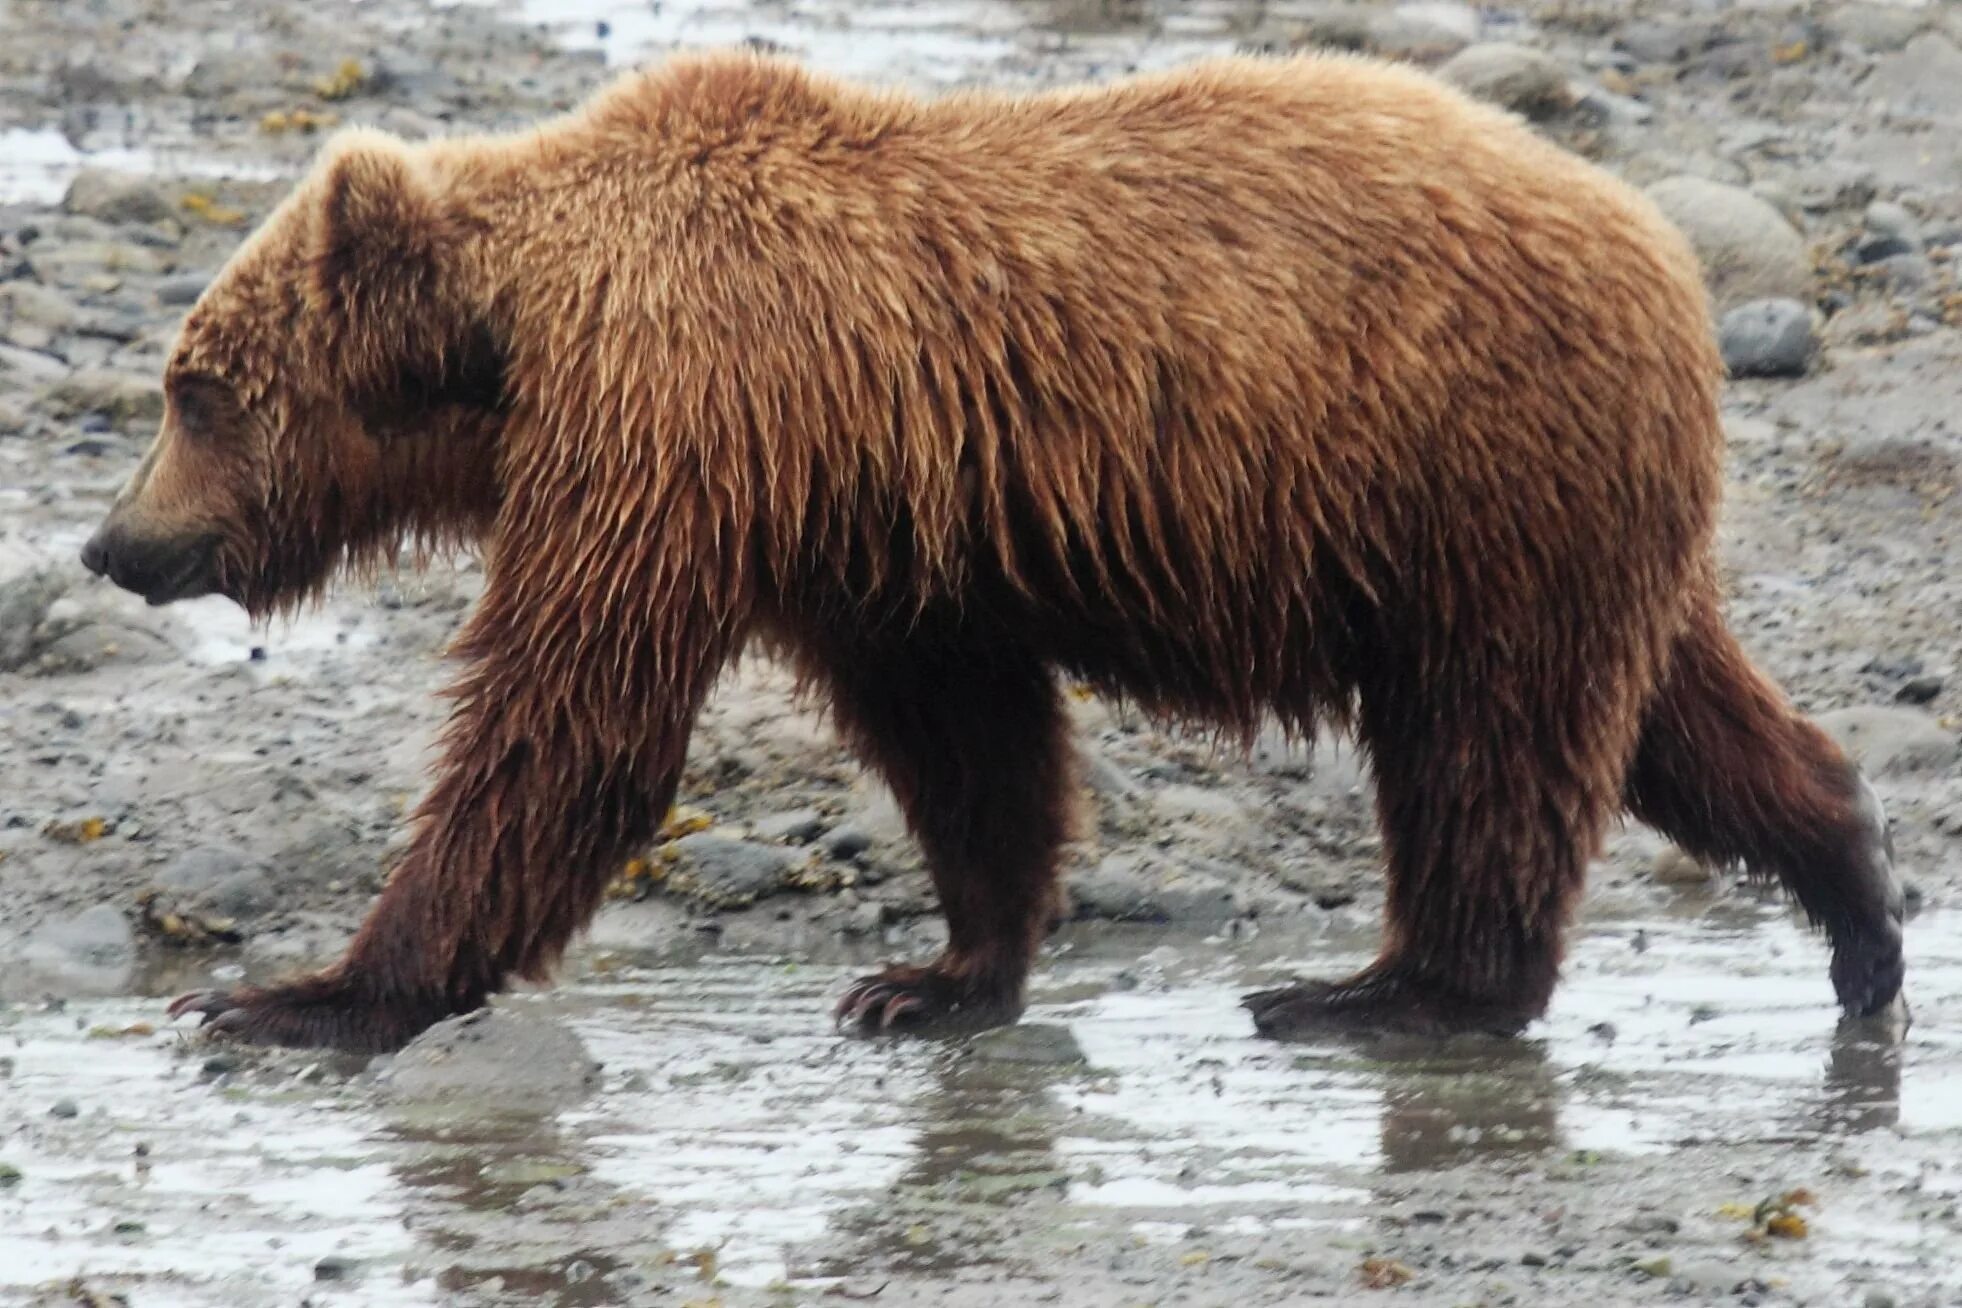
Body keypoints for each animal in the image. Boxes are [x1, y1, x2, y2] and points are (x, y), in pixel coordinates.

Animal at [80, 51, 1899, 1058]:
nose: (111, 542)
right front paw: (937, 975)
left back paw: (1389, 988)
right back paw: (1858, 907)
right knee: (1672, 713)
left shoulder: (680, 423)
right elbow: (965, 738)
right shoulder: (866, 523)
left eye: (193, 386)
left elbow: (570, 721)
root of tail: (1656, 244)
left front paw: (302, 993)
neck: (518, 343)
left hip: (1462, 466)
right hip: (1562, 507)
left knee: (1488, 737)